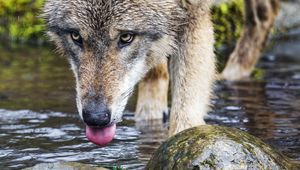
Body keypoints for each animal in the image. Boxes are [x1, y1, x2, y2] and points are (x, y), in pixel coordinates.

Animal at [43, 0, 280, 146]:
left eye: (126, 37)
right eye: (75, 36)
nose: (95, 117)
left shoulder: (193, 15)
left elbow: (186, 115)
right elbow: (154, 76)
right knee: (264, 13)